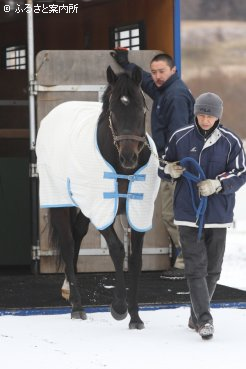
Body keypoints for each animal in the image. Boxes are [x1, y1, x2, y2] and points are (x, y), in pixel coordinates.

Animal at [36, 65, 160, 328]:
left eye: (142, 108)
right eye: (113, 111)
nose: (128, 158)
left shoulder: (139, 211)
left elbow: (136, 260)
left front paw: (135, 317)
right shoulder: (101, 208)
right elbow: (117, 250)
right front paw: (119, 308)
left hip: (83, 207)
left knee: (77, 235)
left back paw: (68, 290)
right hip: (61, 200)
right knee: (68, 242)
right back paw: (76, 306)